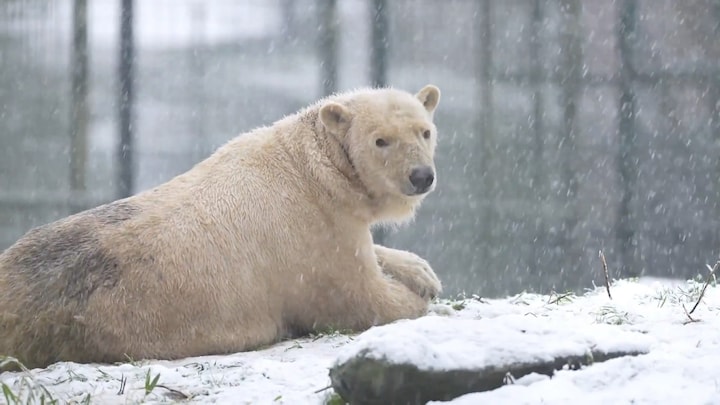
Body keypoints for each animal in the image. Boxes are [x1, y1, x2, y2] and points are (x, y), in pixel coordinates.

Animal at [0, 83, 444, 368]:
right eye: (380, 140)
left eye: (425, 131)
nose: (421, 176)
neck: (312, 167)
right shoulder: (312, 240)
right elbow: (363, 299)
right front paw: (415, 296)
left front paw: (422, 271)